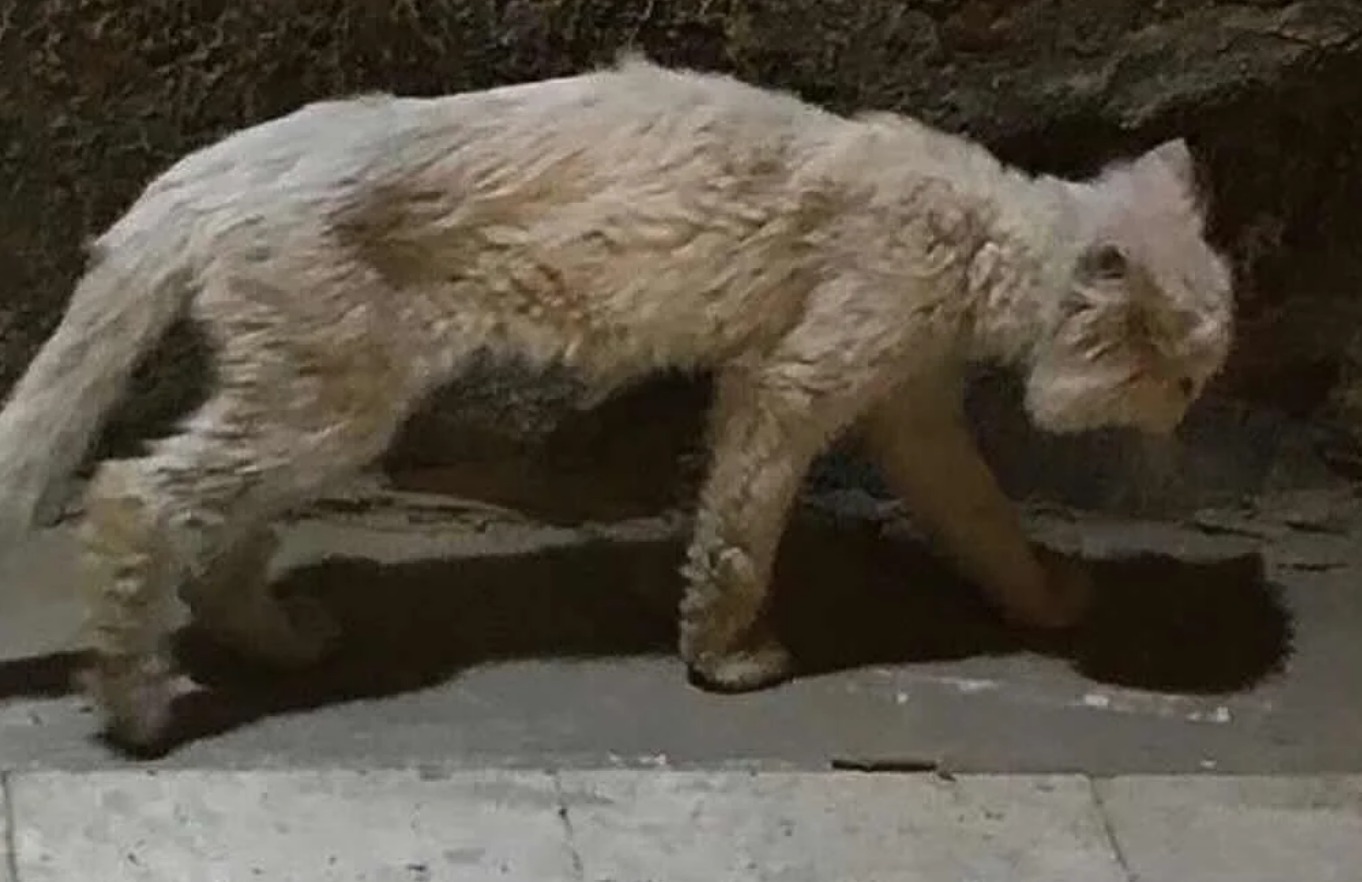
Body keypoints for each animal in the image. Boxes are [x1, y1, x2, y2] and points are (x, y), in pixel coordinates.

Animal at [0, 55, 1233, 749]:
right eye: (1181, 376)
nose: (1190, 419)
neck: (983, 236)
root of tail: (212, 165)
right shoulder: (791, 387)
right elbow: (738, 536)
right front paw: (727, 660)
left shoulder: (907, 412)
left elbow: (983, 519)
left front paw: (1048, 602)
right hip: (327, 401)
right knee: (134, 495)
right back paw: (133, 710)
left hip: (318, 403)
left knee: (218, 533)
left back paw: (278, 640)